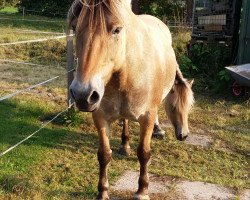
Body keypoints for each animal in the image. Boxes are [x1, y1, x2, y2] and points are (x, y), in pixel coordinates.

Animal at [68, 0, 193, 199]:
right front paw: (102, 192)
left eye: (117, 30)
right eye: (75, 27)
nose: (82, 95)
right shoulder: (100, 117)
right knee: (125, 121)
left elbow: (144, 153)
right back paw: (125, 145)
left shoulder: (148, 116)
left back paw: (157, 131)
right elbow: (104, 154)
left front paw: (142, 191)